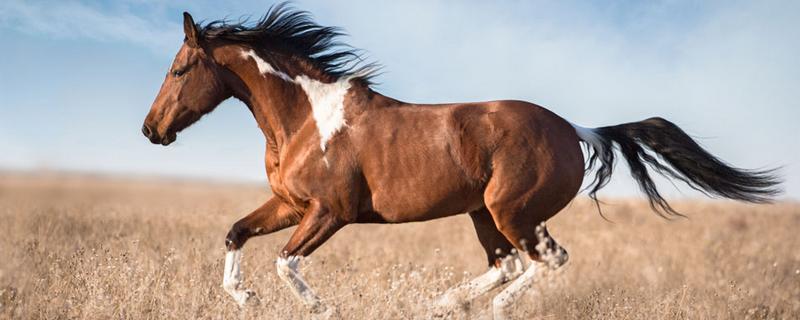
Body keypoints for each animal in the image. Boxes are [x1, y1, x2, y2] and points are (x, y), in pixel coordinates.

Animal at [141, 4, 780, 318]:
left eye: (179, 69)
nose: (151, 130)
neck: (307, 118)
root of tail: (575, 129)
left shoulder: (330, 212)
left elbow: (285, 264)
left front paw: (323, 309)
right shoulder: (289, 204)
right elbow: (235, 233)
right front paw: (244, 299)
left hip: (511, 211)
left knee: (544, 261)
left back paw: (487, 308)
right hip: (483, 213)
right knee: (509, 263)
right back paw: (443, 302)